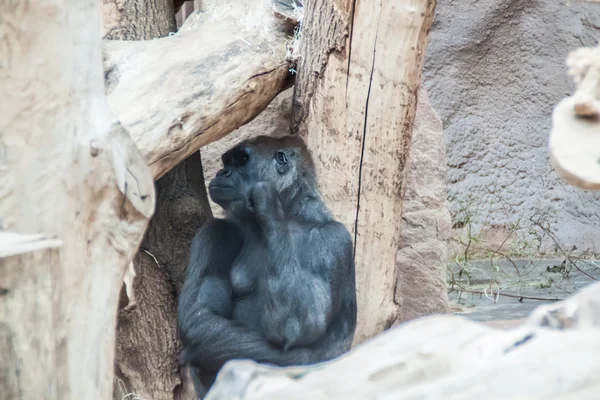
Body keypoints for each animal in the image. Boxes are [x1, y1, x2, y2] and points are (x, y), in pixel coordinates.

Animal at [178, 135, 356, 396]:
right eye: (227, 162)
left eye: (242, 160)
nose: (222, 172)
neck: (293, 214)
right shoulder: (216, 232)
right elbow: (201, 316)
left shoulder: (333, 240)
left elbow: (303, 323)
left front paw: (268, 202)